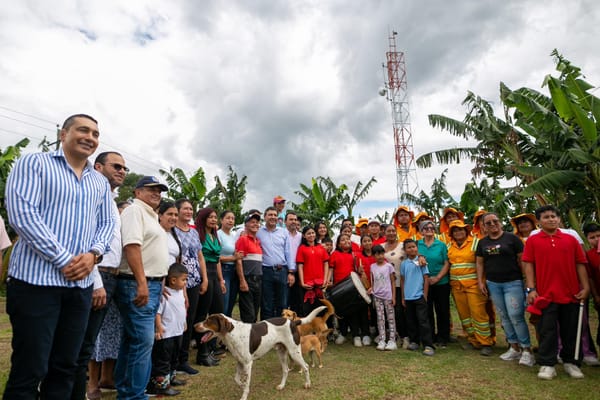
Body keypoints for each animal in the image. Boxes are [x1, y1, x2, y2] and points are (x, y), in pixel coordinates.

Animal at [195, 306, 326, 400]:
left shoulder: (248, 364)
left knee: (306, 367)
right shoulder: (239, 362)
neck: (233, 332)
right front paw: (242, 386)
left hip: (294, 352)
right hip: (282, 353)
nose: (194, 325)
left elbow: (246, 383)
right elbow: (237, 379)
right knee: (285, 370)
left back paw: (308, 384)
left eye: (208, 321)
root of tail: (292, 322)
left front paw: (244, 394)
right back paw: (282, 386)